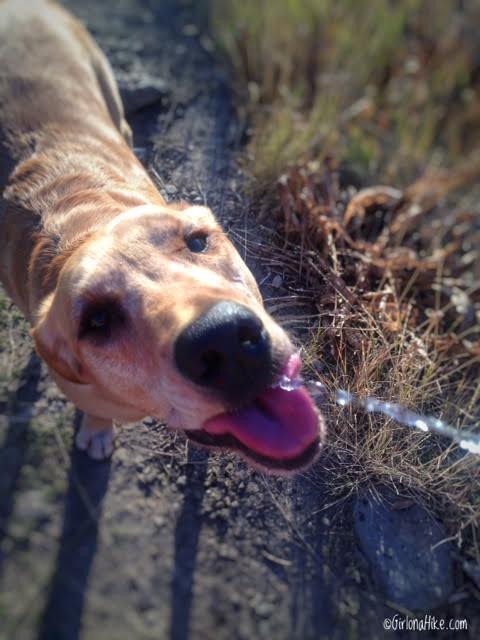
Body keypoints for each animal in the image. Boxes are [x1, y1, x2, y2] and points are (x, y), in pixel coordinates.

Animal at [0, 0, 326, 470]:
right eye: (96, 321)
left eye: (197, 241)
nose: (225, 341)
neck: (84, 219)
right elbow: (95, 412)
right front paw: (96, 432)